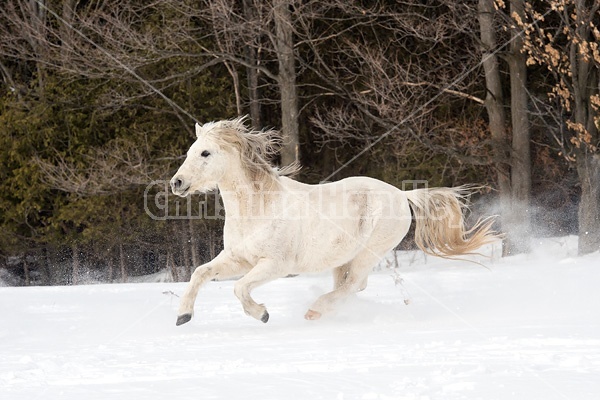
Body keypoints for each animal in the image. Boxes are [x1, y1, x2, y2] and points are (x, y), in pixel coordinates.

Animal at [170, 115, 496, 324]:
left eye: (205, 153)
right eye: (190, 152)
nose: (176, 183)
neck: (260, 208)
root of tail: (402, 195)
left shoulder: (276, 265)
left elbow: (239, 288)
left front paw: (261, 314)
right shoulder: (239, 259)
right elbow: (200, 272)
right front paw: (183, 316)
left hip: (369, 253)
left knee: (353, 285)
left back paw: (315, 311)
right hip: (343, 259)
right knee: (354, 286)